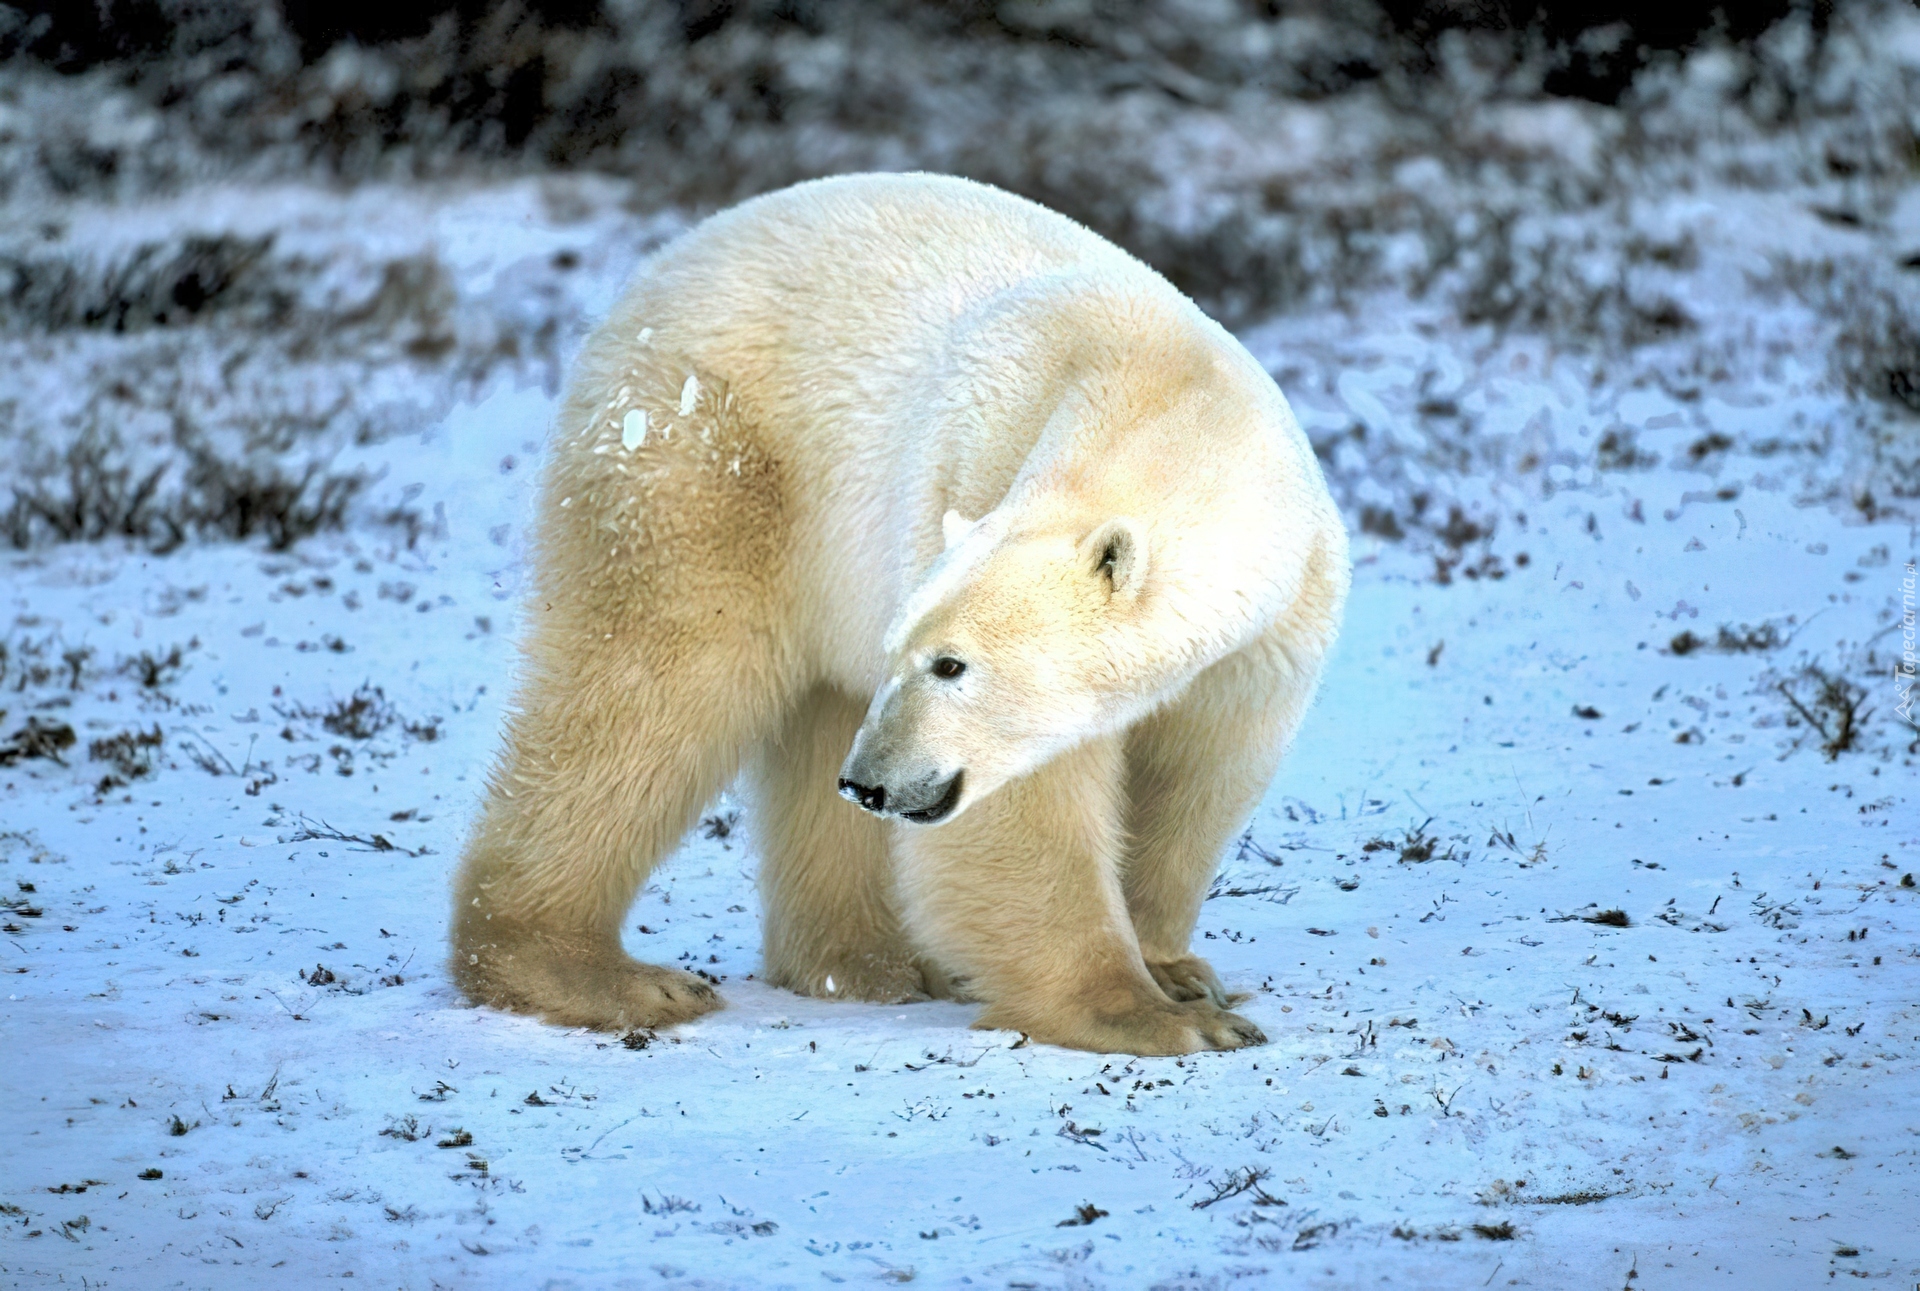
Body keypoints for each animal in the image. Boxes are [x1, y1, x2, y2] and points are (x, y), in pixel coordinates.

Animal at [449, 170, 1351, 1060]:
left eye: (949, 663)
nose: (873, 781)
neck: (1164, 387)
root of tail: (659, 267)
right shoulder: (977, 471)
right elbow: (1028, 808)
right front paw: (1158, 1014)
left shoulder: (1270, 631)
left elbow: (1198, 776)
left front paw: (1181, 972)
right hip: (707, 461)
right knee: (650, 691)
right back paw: (604, 972)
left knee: (811, 717)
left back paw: (867, 961)